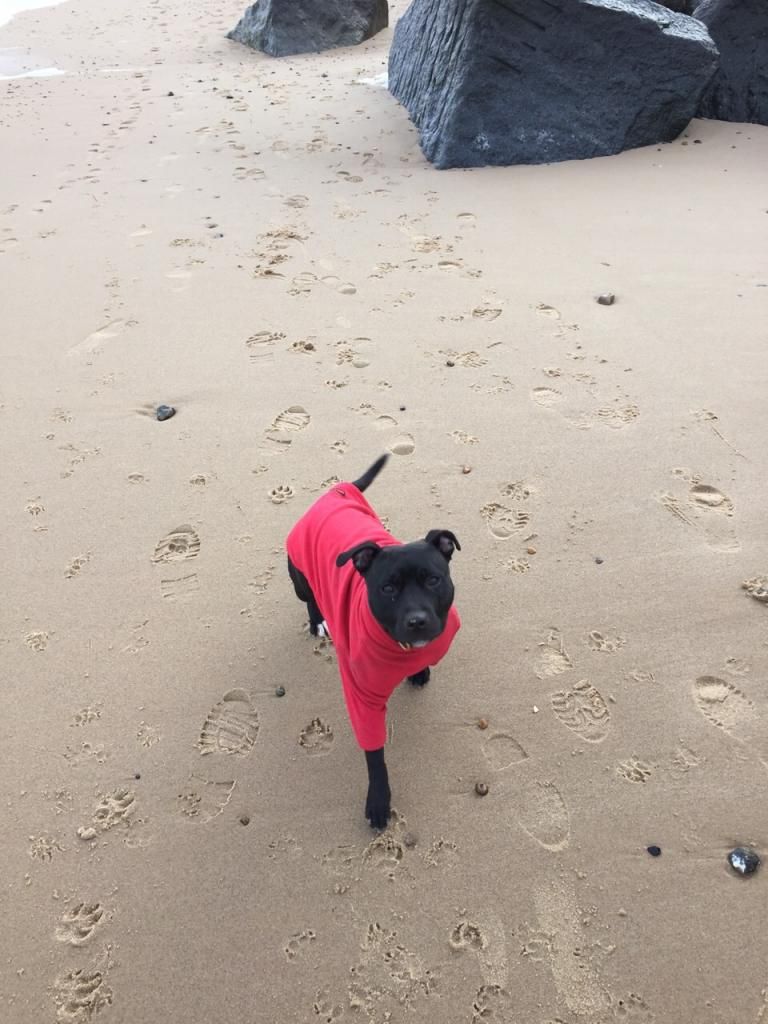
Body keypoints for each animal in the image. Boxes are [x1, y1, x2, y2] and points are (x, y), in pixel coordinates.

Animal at [286, 454, 460, 823]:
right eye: (388, 588)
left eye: (433, 580)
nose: (417, 621)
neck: (400, 648)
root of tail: (335, 491)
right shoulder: (362, 698)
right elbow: (375, 755)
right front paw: (379, 800)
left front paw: (418, 671)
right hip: (300, 579)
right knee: (309, 598)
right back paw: (317, 622)